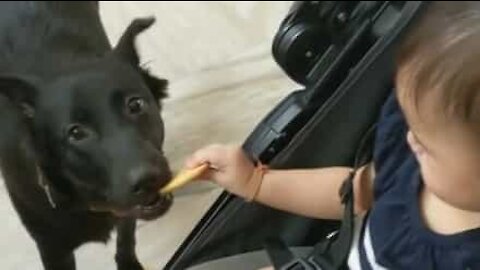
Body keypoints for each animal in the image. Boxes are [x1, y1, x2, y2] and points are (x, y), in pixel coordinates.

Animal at [0, 2, 172, 270]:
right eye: (76, 132)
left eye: (135, 105)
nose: (148, 180)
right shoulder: (53, 248)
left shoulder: (125, 212)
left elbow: (126, 239)